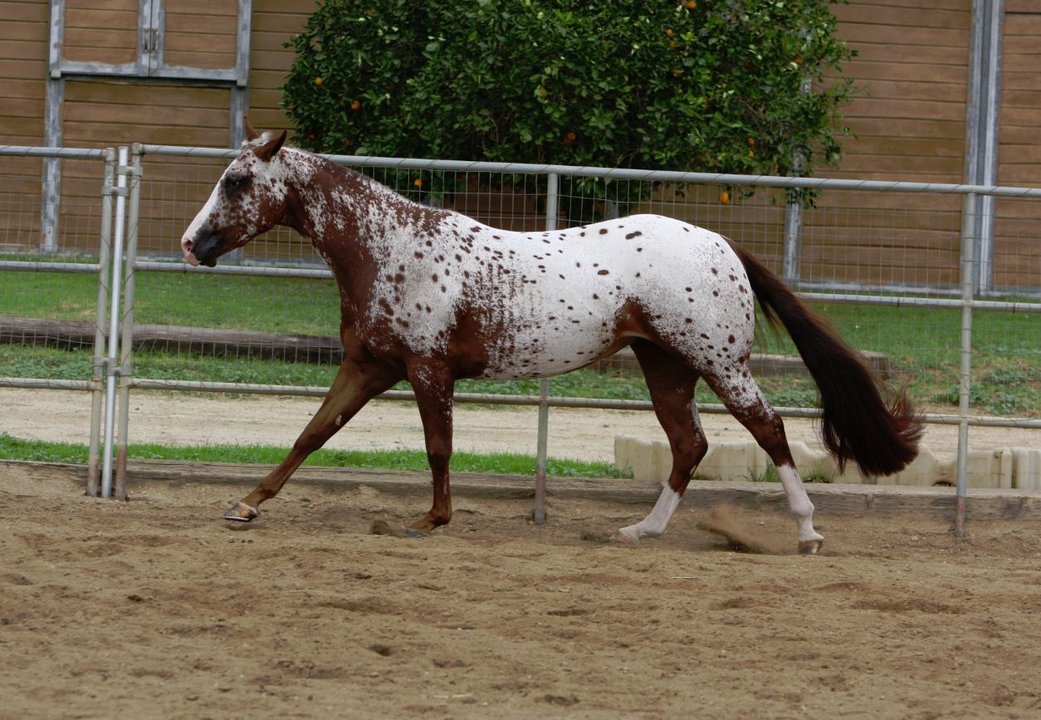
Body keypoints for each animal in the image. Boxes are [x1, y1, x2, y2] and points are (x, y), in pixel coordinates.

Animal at [179, 120, 920, 553]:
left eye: (237, 180)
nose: (191, 244)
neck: (391, 248)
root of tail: (719, 243)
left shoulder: (425, 370)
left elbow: (437, 448)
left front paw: (432, 520)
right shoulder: (368, 366)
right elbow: (311, 433)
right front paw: (244, 506)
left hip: (719, 362)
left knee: (767, 430)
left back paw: (807, 530)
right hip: (665, 366)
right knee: (690, 445)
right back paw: (640, 530)